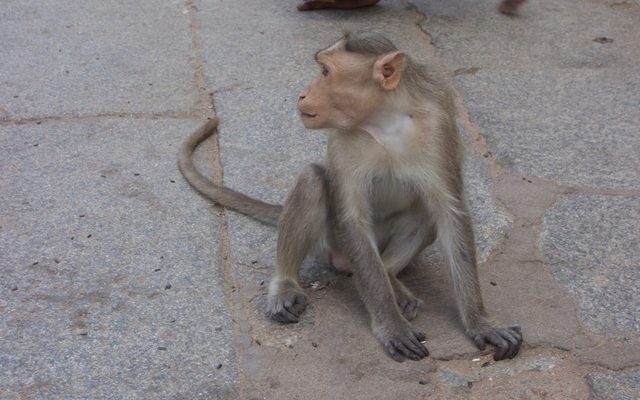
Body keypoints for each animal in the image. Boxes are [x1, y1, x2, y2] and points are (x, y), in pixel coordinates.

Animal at [179, 32, 522, 362]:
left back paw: (392, 278)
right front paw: (391, 326)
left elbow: (450, 212)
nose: (302, 94)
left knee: (423, 213)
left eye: (325, 72)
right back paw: (285, 285)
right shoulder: (343, 141)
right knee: (312, 181)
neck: (385, 122)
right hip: (329, 244)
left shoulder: (439, 126)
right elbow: (352, 219)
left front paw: (481, 322)